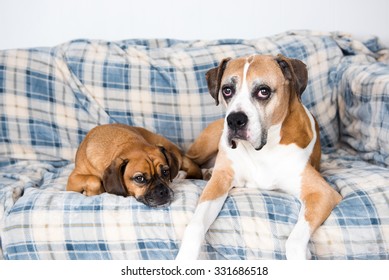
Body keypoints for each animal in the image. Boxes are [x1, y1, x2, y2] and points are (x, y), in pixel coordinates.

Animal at [66, 123, 200, 207]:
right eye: (139, 178)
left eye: (165, 172)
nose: (163, 191)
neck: (125, 143)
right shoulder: (72, 180)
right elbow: (93, 180)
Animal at [174, 53, 342, 260]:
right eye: (227, 90)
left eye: (263, 91)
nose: (234, 119)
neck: (263, 151)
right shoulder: (219, 182)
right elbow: (195, 225)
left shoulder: (321, 193)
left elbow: (294, 242)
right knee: (188, 159)